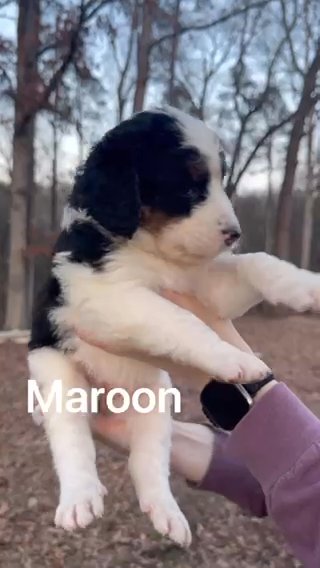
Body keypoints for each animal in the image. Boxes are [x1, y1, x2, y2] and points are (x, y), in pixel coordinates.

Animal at [28, 106, 320, 544]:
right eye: (188, 186)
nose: (234, 234)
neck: (150, 249)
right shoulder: (106, 299)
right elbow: (179, 320)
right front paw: (236, 360)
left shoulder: (206, 286)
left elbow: (257, 263)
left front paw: (309, 287)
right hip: (58, 373)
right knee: (72, 436)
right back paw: (80, 497)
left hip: (155, 395)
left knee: (147, 460)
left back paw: (166, 513)